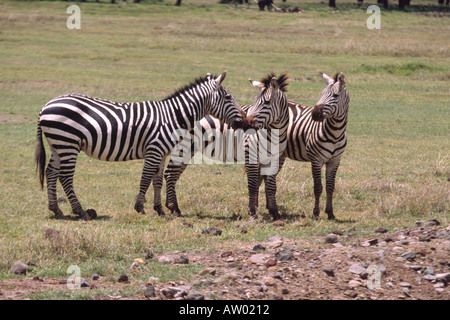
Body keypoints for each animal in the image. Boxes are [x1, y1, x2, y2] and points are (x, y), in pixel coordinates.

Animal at [33, 71, 248, 219]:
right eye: (228, 97)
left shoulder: (162, 153)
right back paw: (81, 212)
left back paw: (56, 210)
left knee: (51, 172)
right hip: (68, 143)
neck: (172, 116)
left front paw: (159, 210)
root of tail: (45, 106)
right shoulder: (154, 149)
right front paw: (140, 207)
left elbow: (157, 180)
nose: (244, 122)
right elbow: (145, 179)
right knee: (65, 177)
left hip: (57, 144)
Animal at [160, 73, 290, 219]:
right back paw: (174, 208)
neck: (274, 134)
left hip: (189, 150)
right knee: (170, 174)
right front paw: (252, 212)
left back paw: (171, 206)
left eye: (267, 102)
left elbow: (271, 186)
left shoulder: (274, 158)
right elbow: (252, 184)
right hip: (183, 147)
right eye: (255, 100)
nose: (246, 125)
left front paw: (274, 211)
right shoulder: (250, 156)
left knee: (173, 174)